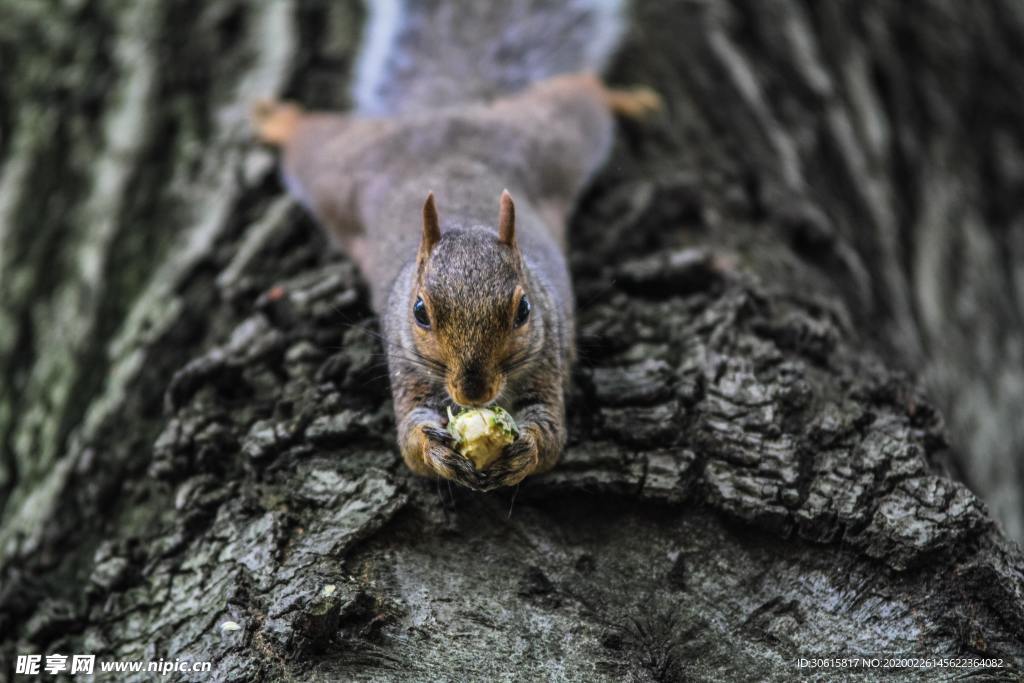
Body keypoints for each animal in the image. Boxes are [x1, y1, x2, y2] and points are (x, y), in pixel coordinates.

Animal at [251, 0, 659, 491]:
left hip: (553, 138)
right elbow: (410, 442)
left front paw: (525, 450)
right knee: (309, 139)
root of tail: (446, 114)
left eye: (524, 311)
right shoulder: (408, 369)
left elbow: (552, 434)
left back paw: (627, 99)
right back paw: (278, 119)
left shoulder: (547, 357)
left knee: (581, 92)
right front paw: (435, 449)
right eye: (420, 312)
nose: (473, 392)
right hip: (340, 169)